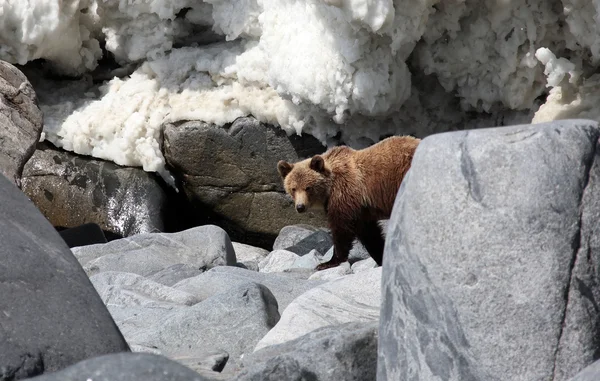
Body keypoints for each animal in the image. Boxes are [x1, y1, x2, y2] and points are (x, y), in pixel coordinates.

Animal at [276, 135, 418, 268]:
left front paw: (328, 262)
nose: (300, 207)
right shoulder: (361, 209)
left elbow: (342, 229)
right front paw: (380, 256)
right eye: (293, 188)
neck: (329, 188)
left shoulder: (344, 194)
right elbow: (369, 233)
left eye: (308, 187)